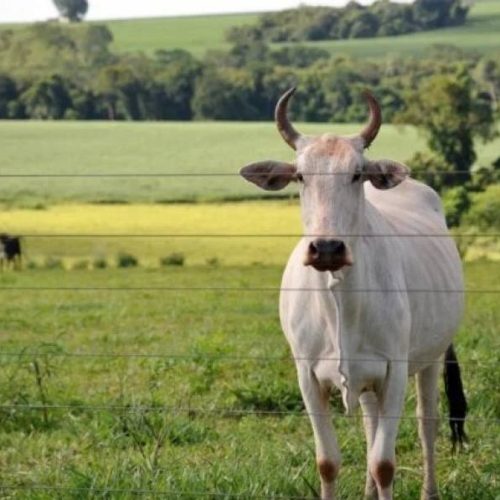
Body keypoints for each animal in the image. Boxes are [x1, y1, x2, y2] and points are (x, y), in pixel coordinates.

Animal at [240, 90, 466, 500]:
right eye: (300, 175)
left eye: (357, 173)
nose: (327, 248)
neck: (339, 300)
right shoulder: (308, 376)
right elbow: (328, 461)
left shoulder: (395, 370)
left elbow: (384, 462)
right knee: (370, 422)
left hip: (431, 358)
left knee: (427, 424)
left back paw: (429, 491)